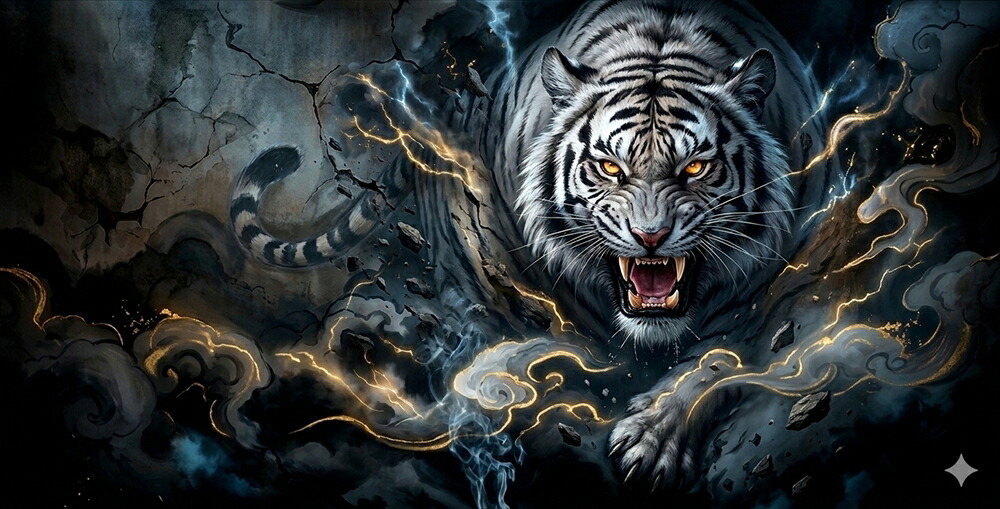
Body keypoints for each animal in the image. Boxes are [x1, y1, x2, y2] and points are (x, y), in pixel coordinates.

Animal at [230, 0, 826, 491]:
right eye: (611, 167)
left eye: (696, 168)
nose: (650, 235)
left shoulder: (777, 287)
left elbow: (720, 360)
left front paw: (655, 436)